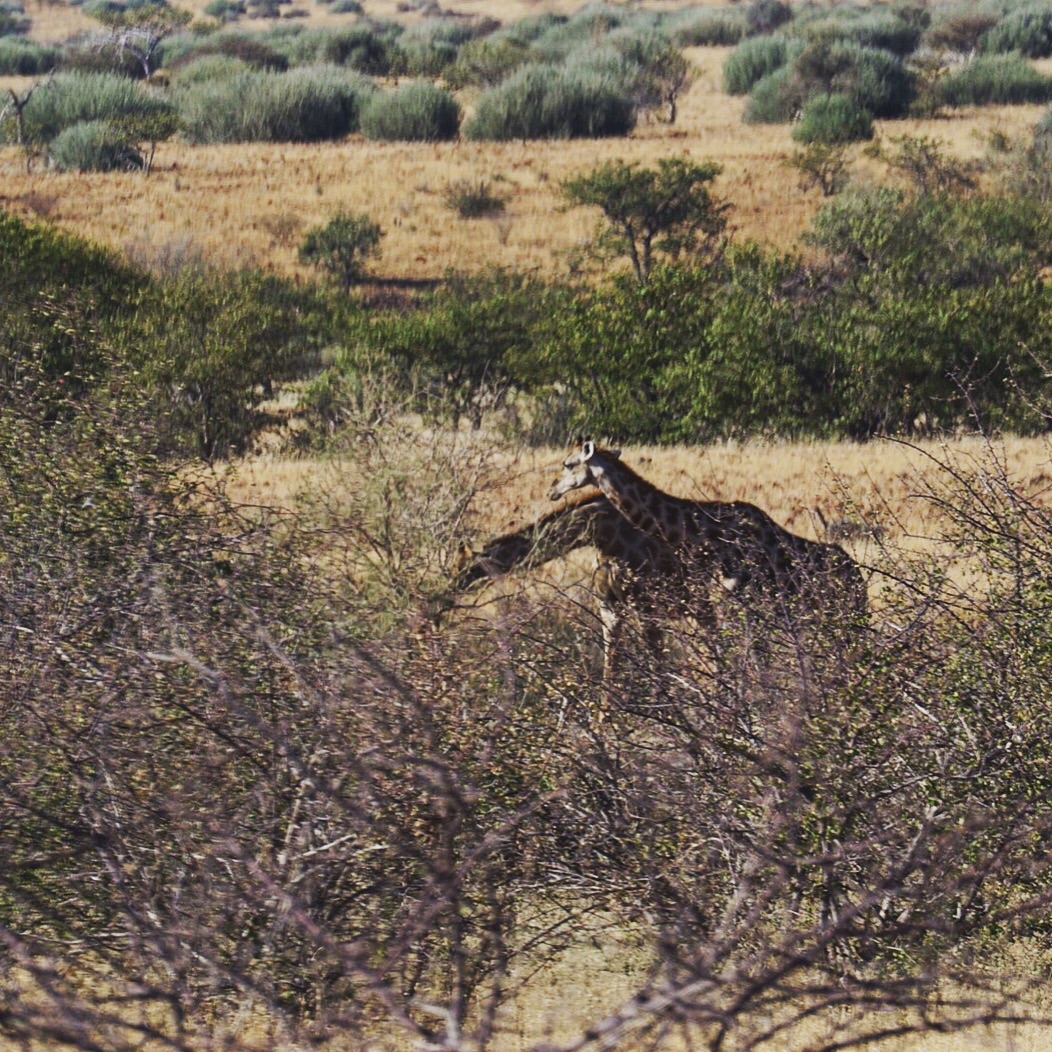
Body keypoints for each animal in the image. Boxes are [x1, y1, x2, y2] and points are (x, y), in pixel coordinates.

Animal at [443, 492, 715, 681]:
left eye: (461, 568)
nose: (448, 593)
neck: (600, 533)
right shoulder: (610, 609)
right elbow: (610, 676)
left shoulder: (647, 610)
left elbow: (658, 670)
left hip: (699, 604)